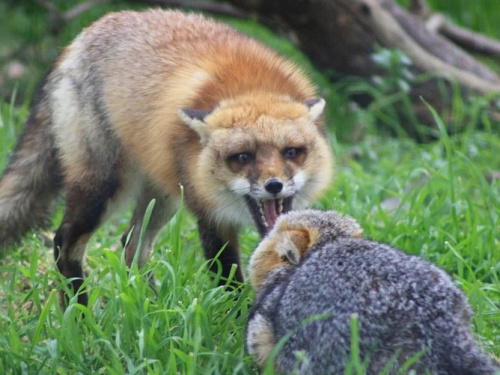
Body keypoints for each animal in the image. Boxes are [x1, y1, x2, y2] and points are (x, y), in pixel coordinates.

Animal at [0, 9, 336, 308]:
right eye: (242, 157)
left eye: (291, 152)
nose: (274, 185)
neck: (251, 86)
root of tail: (80, 38)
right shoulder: (210, 214)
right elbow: (228, 279)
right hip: (103, 187)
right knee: (64, 241)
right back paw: (80, 314)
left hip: (163, 195)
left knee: (131, 244)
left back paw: (150, 306)